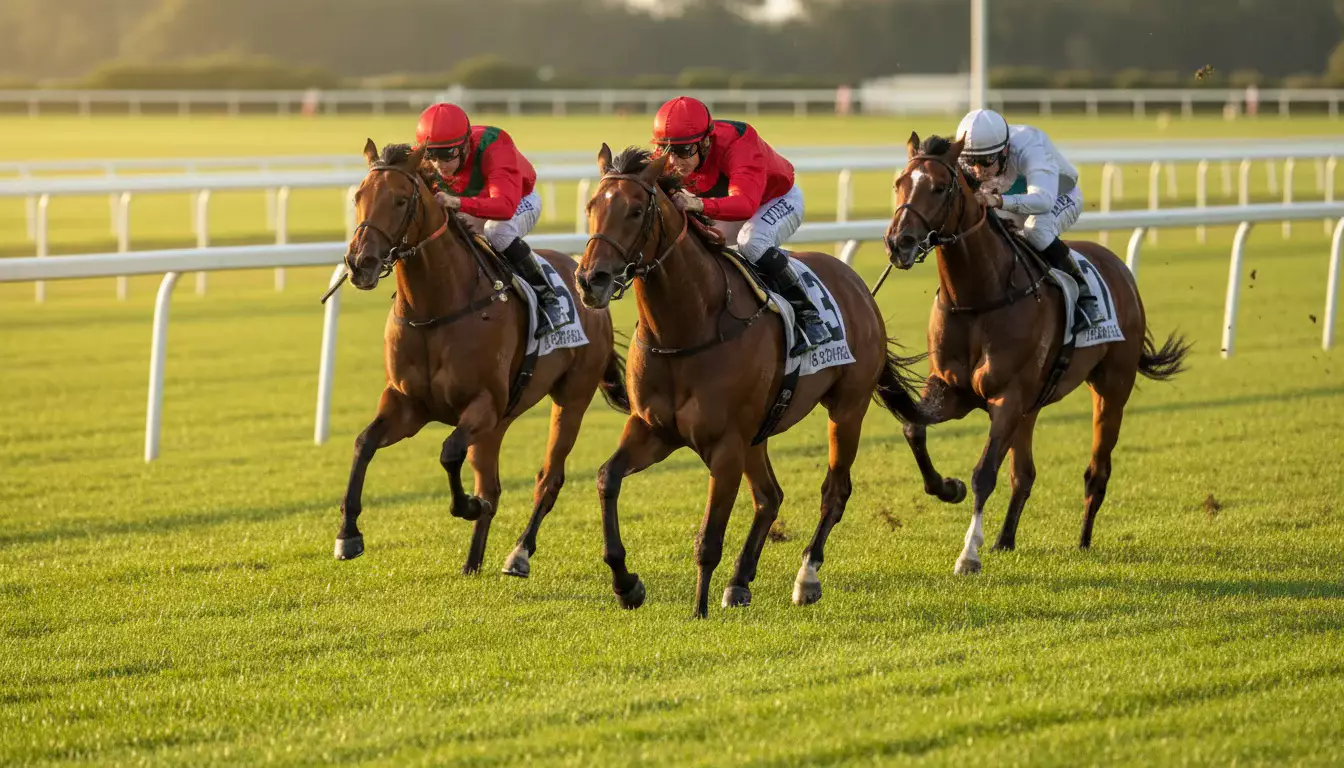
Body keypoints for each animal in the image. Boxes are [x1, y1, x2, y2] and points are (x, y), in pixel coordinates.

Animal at [333, 139, 629, 578]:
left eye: (401, 200)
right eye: (358, 196)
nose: (360, 263)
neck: (434, 310)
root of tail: (590, 288)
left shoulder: (483, 405)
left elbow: (449, 453)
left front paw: (469, 506)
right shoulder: (408, 404)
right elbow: (363, 443)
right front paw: (348, 534)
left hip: (571, 399)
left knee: (549, 477)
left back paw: (519, 553)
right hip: (501, 421)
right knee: (492, 482)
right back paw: (472, 561)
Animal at [574, 144, 948, 618]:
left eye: (636, 210)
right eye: (592, 206)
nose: (590, 279)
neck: (687, 329)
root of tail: (858, 285)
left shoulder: (726, 445)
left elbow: (709, 537)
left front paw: (698, 612)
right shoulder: (652, 430)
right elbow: (607, 478)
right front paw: (627, 585)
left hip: (847, 408)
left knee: (834, 490)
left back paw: (806, 578)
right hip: (760, 432)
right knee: (770, 496)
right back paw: (739, 581)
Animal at [884, 132, 1190, 574]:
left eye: (940, 187)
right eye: (899, 183)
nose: (899, 242)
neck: (978, 298)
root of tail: (1119, 268)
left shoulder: (1007, 397)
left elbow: (984, 473)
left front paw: (968, 554)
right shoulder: (951, 389)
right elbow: (914, 429)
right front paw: (948, 488)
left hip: (1111, 389)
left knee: (1097, 470)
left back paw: (1082, 541)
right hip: (1031, 406)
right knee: (1024, 474)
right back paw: (1005, 540)